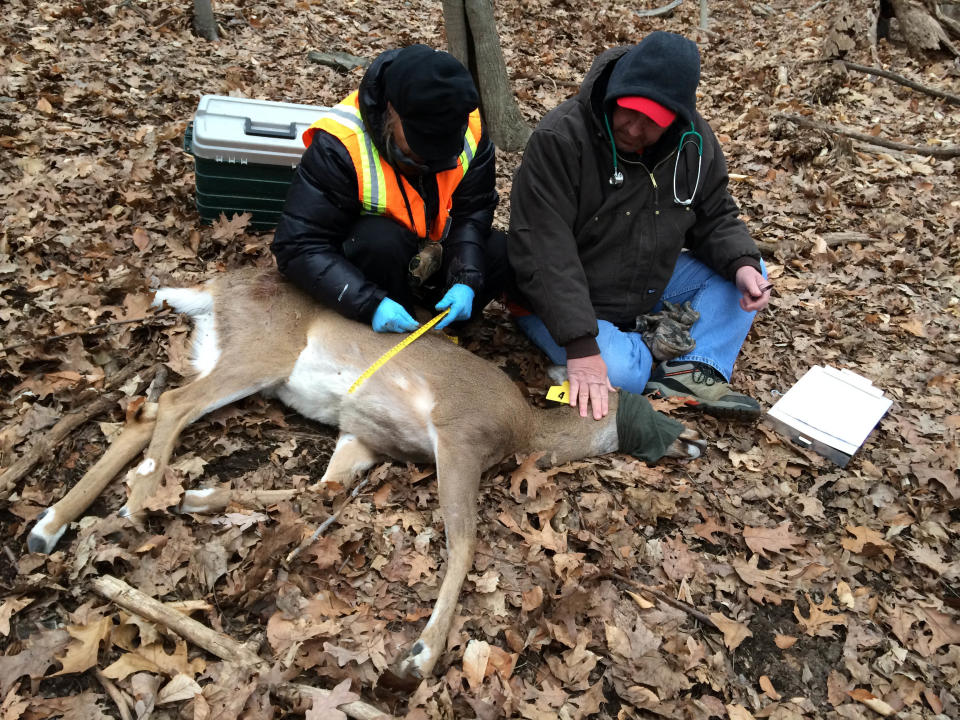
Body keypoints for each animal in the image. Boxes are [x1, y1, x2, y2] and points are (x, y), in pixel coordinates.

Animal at [28, 268, 704, 680]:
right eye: (645, 403)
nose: (695, 442)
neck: (525, 431)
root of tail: (214, 288)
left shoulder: (363, 438)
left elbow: (317, 490)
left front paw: (199, 495)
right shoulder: (458, 437)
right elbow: (464, 542)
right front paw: (421, 655)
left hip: (221, 355)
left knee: (143, 414)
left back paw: (51, 525)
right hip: (260, 353)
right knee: (168, 405)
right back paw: (136, 499)